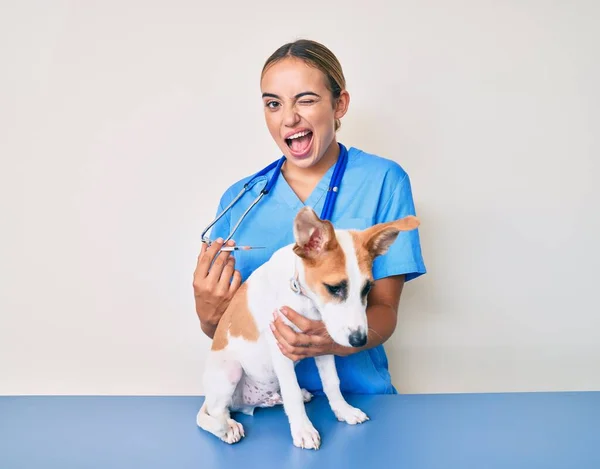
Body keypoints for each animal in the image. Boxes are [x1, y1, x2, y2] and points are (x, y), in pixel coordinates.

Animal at [196, 207, 418, 448]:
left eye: (367, 288)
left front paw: (343, 410)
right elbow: (291, 392)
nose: (359, 341)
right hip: (230, 371)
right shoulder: (280, 347)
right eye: (334, 288)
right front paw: (303, 430)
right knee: (217, 412)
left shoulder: (322, 343)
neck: (303, 297)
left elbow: (332, 382)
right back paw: (227, 428)